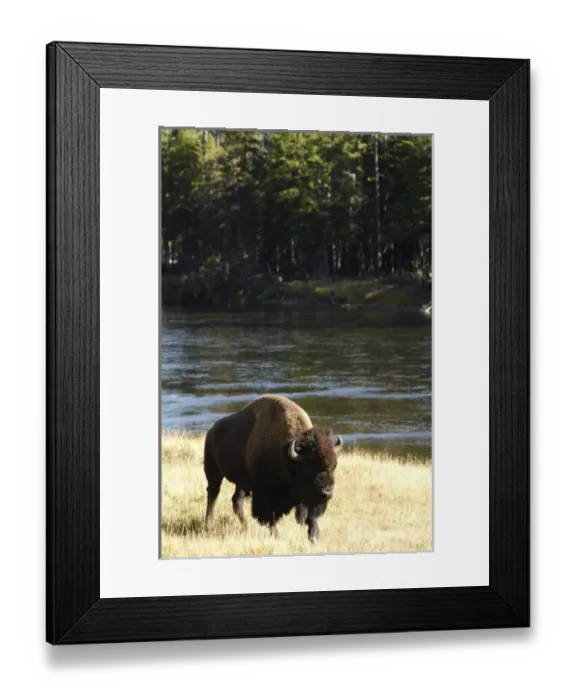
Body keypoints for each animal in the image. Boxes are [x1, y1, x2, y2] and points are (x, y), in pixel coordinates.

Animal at [203, 394, 343, 543]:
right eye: (308, 469)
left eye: (334, 466)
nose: (327, 492)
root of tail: (211, 431)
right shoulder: (265, 493)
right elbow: (270, 516)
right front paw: (276, 535)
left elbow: (311, 514)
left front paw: (314, 536)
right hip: (213, 472)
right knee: (213, 495)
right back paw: (208, 523)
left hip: (241, 483)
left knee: (236, 501)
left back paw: (246, 527)